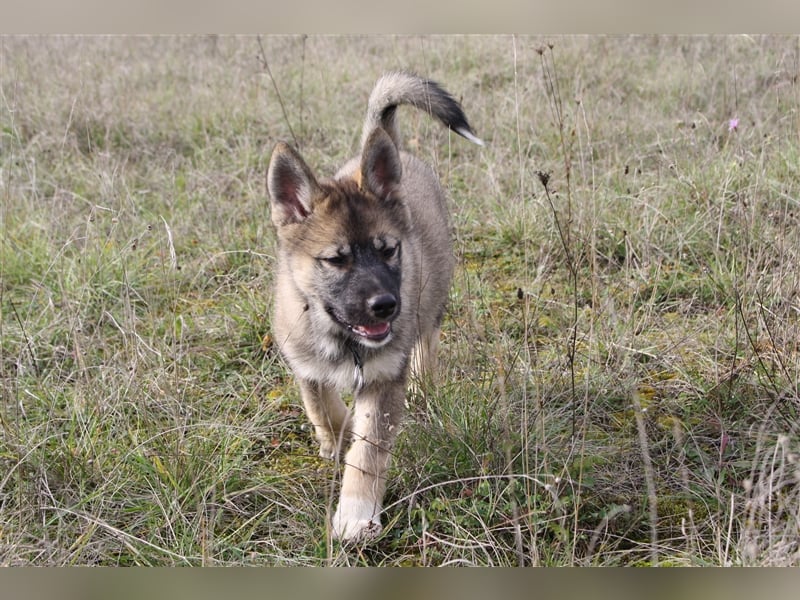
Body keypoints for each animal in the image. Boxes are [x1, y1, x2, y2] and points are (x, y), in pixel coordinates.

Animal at [268, 72, 482, 540]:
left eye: (388, 251)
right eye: (336, 260)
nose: (385, 306)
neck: (343, 339)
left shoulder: (383, 380)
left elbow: (367, 453)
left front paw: (355, 514)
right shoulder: (305, 365)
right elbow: (325, 412)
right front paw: (337, 439)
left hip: (431, 298)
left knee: (426, 339)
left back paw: (422, 385)